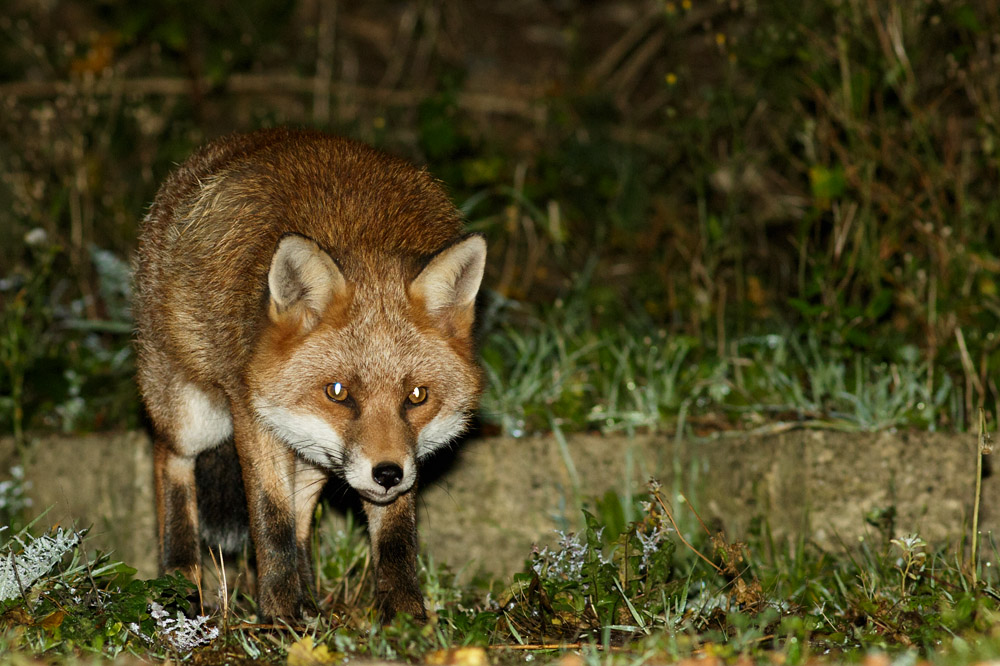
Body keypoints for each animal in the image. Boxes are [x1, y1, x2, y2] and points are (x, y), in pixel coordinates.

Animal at [133, 128, 486, 622]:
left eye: (417, 396)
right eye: (338, 392)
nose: (387, 474)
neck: (364, 237)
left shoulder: (397, 455)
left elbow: (395, 537)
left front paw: (405, 618)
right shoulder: (252, 415)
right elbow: (270, 520)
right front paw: (278, 614)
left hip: (311, 448)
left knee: (301, 514)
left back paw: (310, 601)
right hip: (194, 415)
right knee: (171, 461)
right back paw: (182, 581)